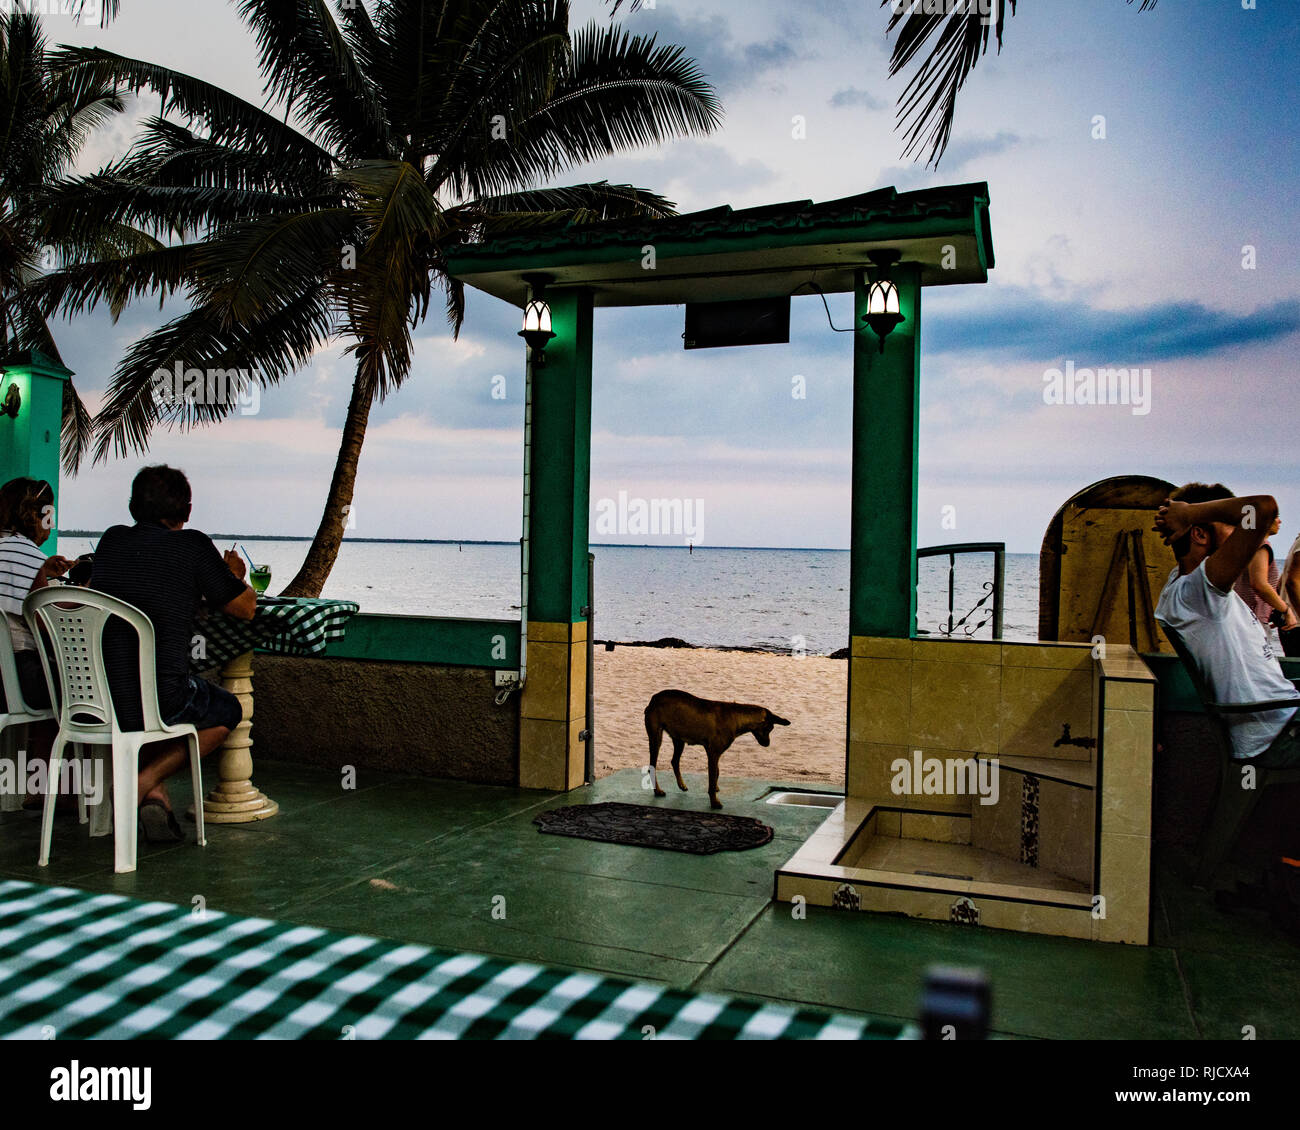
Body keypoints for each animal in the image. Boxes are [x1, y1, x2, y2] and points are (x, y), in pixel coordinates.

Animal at [642, 681, 785, 806]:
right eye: (770, 728)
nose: (767, 744)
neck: (737, 718)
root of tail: (654, 698)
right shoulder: (713, 753)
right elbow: (712, 777)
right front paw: (714, 802)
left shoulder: (713, 752)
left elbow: (717, 772)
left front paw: (716, 788)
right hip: (656, 738)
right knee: (652, 766)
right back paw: (657, 791)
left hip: (679, 739)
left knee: (674, 761)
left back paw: (681, 785)